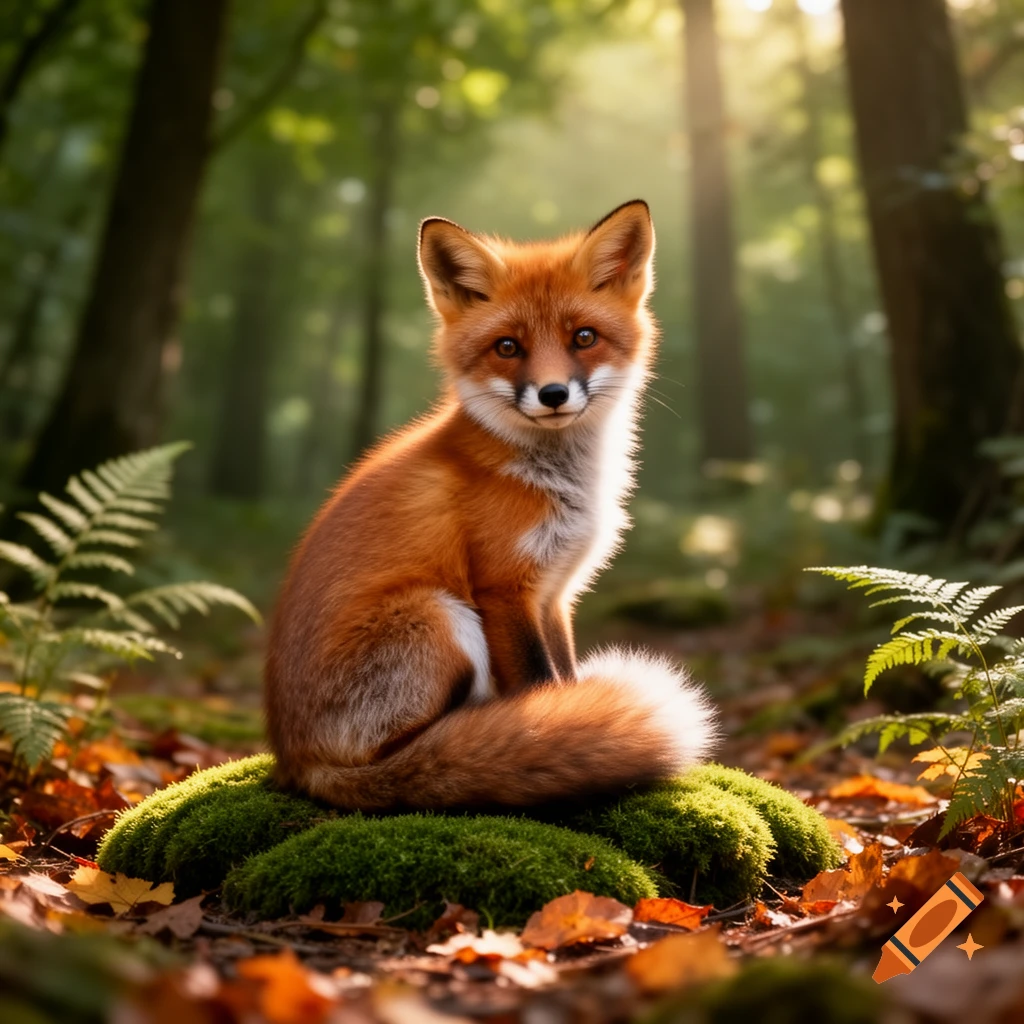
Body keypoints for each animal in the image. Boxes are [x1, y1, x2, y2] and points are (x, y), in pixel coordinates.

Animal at [265, 199, 717, 811]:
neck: (558, 481)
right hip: (439, 613)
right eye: (508, 347)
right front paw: (560, 739)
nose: (553, 394)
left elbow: (564, 682)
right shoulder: (503, 588)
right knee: (417, 757)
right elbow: (539, 687)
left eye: (584, 337)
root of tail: (296, 763)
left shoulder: (555, 594)